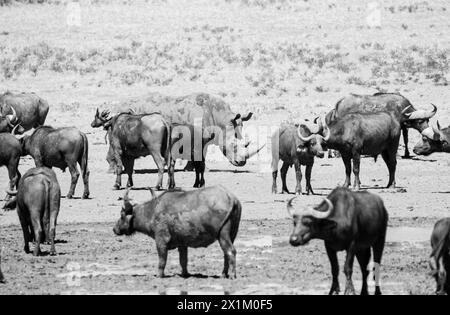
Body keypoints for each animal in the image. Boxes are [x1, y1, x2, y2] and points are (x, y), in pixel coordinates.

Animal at [114, 186, 243, 280]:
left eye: (121, 214)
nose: (114, 229)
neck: (152, 211)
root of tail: (232, 198)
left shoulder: (161, 240)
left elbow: (162, 260)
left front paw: (159, 275)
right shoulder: (182, 244)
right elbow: (183, 261)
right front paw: (184, 274)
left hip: (223, 235)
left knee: (230, 251)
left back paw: (232, 275)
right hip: (232, 235)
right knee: (226, 253)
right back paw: (223, 274)